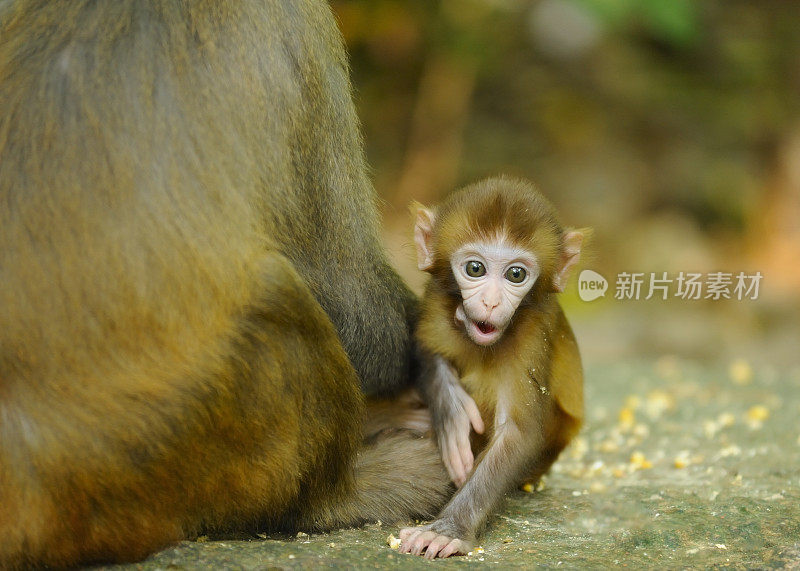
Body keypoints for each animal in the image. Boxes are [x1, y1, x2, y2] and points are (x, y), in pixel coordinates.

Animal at [404, 178, 584, 560]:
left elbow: (515, 433)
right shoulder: (435, 297)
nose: (490, 302)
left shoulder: (534, 332)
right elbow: (425, 348)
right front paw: (452, 413)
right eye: (475, 269)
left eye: (516, 274)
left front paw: (446, 531)